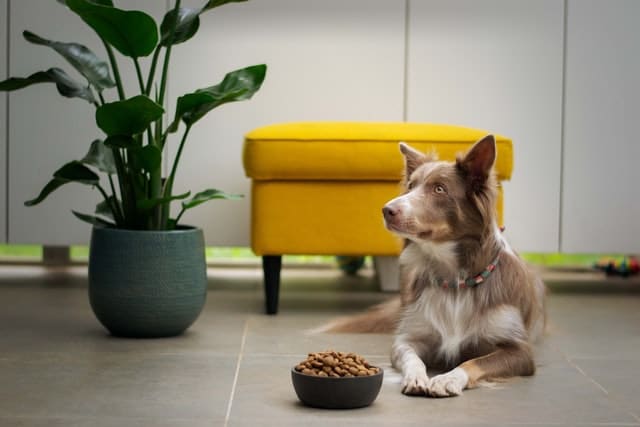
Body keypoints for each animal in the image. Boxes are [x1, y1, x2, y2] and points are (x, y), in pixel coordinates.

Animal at [324, 136, 544, 398]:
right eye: (410, 185)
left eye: (439, 189)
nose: (386, 210)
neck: (456, 280)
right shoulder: (408, 337)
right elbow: (412, 357)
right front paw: (417, 377)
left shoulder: (520, 351)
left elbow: (472, 362)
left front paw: (447, 379)